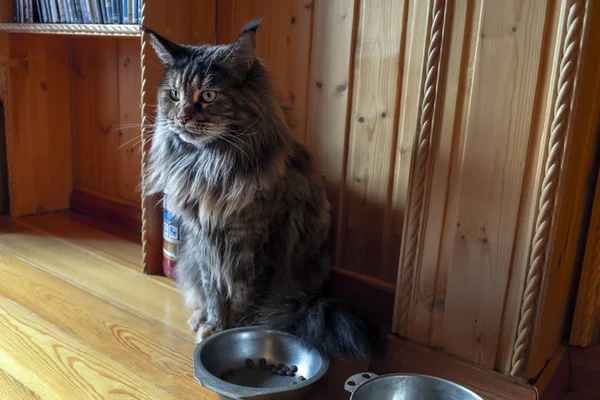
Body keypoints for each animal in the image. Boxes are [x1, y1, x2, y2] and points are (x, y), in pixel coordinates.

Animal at [142, 18, 376, 358]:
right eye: (173, 94)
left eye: (208, 95)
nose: (183, 117)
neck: (209, 164)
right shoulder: (204, 240)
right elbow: (214, 291)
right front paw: (213, 324)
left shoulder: (251, 243)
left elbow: (243, 296)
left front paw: (238, 331)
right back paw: (198, 317)